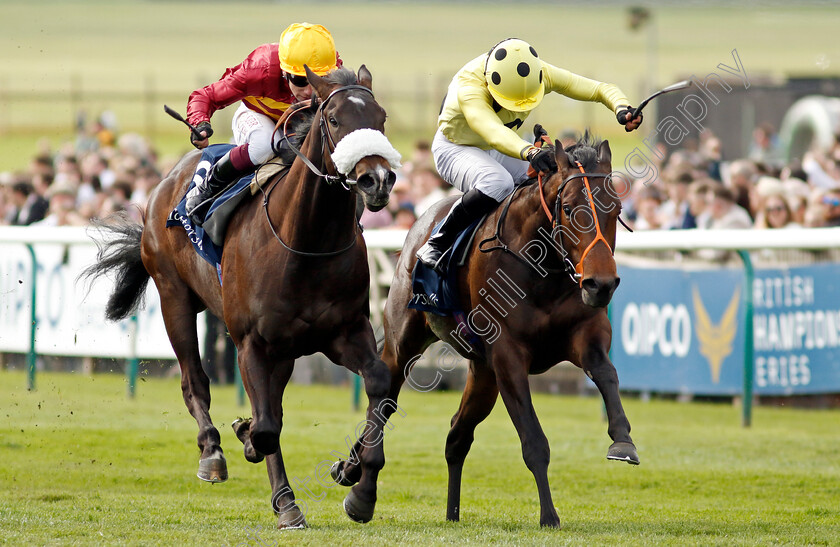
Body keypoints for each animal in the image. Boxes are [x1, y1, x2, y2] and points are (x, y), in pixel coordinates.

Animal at [83, 65, 398, 532]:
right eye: (335, 119)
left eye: (381, 118)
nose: (376, 179)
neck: (306, 241)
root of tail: (166, 181)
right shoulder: (251, 342)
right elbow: (266, 427)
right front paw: (276, 485)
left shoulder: (345, 331)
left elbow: (378, 385)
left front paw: (358, 483)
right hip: (174, 298)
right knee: (195, 382)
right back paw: (214, 452)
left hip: (284, 350)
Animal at [328, 132, 636, 528]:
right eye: (568, 208)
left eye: (616, 208)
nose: (602, 284)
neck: (543, 268)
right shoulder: (508, 354)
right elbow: (534, 441)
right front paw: (549, 516)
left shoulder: (586, 332)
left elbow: (606, 373)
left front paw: (622, 441)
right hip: (405, 341)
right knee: (383, 403)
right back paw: (361, 493)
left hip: (482, 372)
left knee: (456, 437)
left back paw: (448, 511)